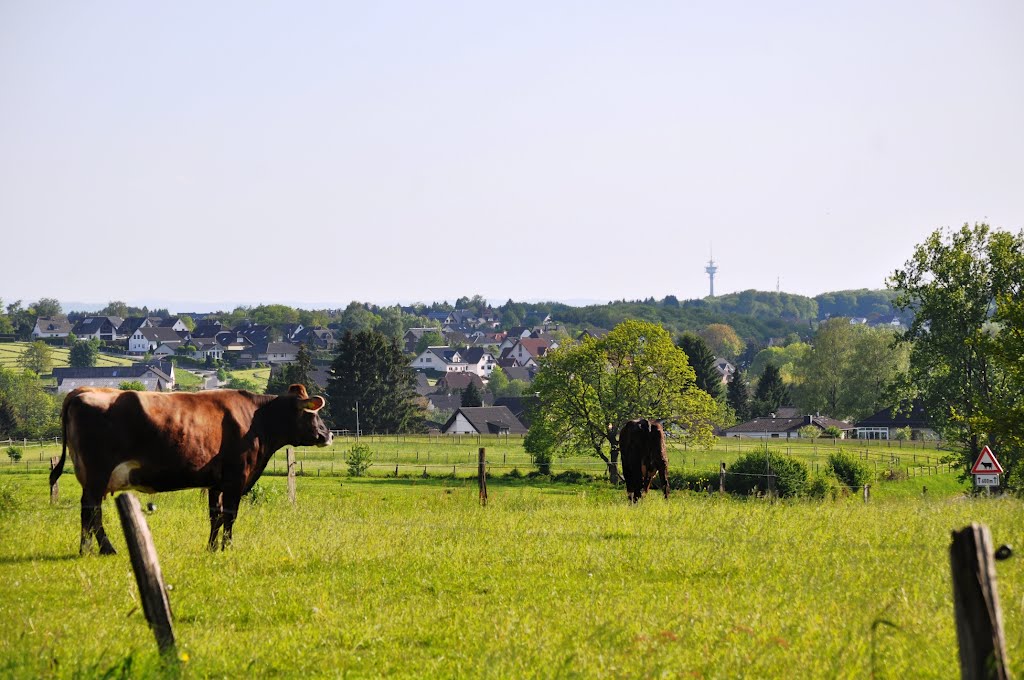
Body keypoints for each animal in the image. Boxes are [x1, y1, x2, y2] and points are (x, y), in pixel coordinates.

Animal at [51, 383, 331, 553]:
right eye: (312, 413)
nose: (327, 435)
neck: (256, 419)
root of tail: (82, 391)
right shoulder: (236, 478)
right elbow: (230, 515)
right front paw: (227, 548)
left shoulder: (216, 483)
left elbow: (215, 516)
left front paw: (212, 548)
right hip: (97, 474)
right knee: (92, 511)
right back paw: (106, 548)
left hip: (91, 477)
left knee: (88, 513)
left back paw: (87, 549)